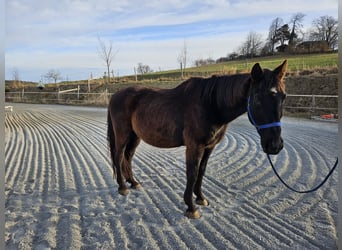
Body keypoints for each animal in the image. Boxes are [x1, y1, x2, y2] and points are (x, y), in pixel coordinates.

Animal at [107, 60, 288, 219]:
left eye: (283, 97)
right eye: (257, 97)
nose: (275, 145)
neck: (210, 104)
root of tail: (115, 95)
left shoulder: (209, 147)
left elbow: (201, 171)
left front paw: (200, 198)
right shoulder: (195, 146)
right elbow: (192, 173)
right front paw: (191, 207)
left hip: (135, 136)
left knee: (128, 157)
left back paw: (133, 182)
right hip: (122, 134)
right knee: (118, 156)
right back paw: (122, 187)